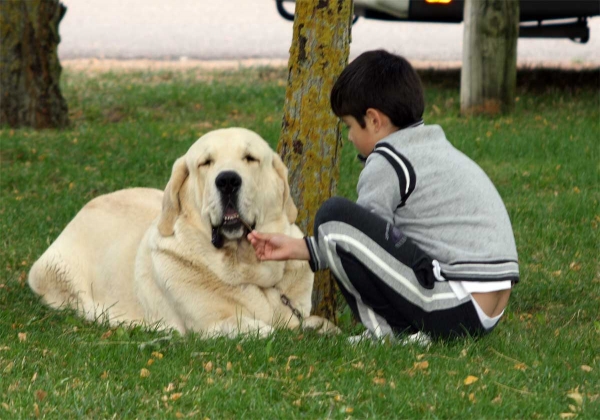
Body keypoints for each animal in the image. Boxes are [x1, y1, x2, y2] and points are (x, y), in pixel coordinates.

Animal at [28, 128, 338, 338]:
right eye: (205, 162)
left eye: (250, 158)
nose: (227, 180)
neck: (246, 269)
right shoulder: (213, 325)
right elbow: (266, 329)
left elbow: (317, 323)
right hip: (58, 275)